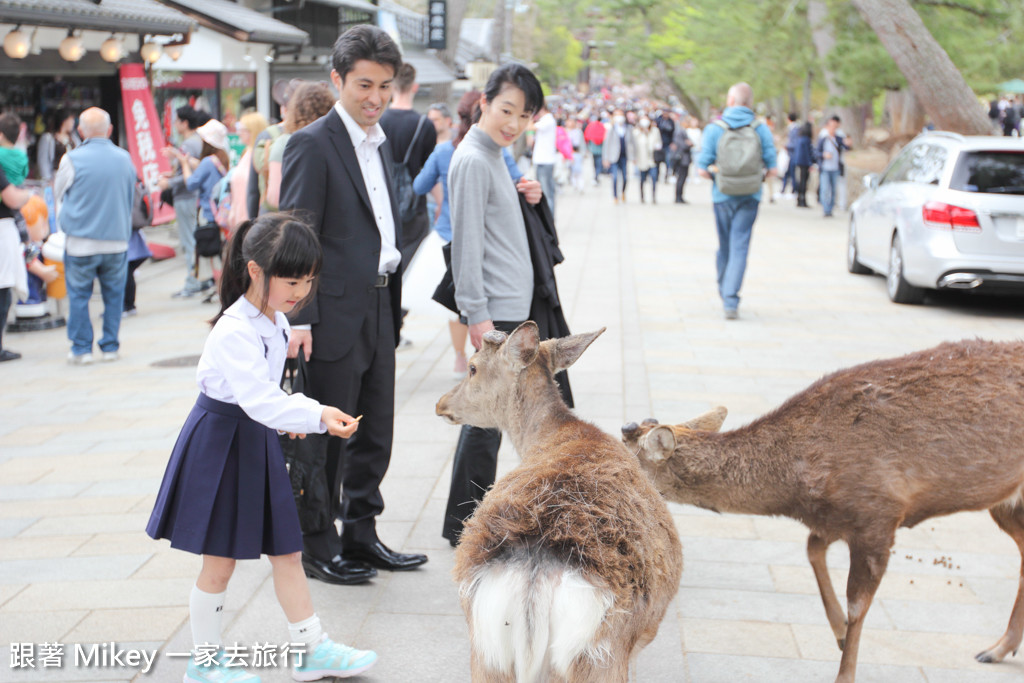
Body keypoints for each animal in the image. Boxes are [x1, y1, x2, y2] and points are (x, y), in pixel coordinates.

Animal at [436, 323, 684, 679]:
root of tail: (535, 578)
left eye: (472, 368)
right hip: (599, 657)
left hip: (486, 653)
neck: (551, 433)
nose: (441, 403)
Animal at [618, 337, 1019, 683]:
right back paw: (998, 649)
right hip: (1007, 502)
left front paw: (845, 669)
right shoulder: (835, 519)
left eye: (630, 462)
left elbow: (858, 603)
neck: (798, 486)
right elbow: (813, 549)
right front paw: (839, 632)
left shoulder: (879, 514)